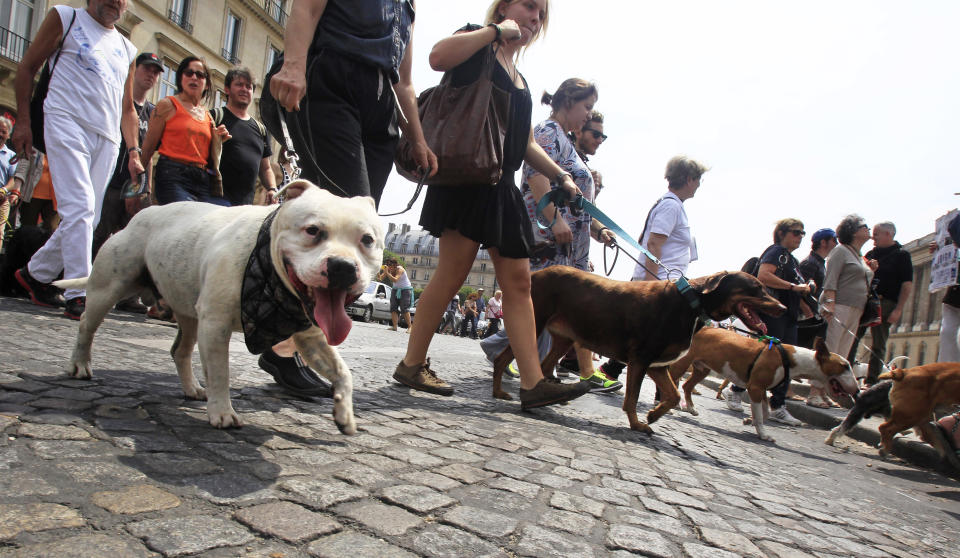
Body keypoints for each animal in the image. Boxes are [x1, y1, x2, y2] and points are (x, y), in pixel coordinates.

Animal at [56, 182, 382, 436]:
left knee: (180, 350)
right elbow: (221, 372)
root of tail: (144, 212)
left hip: (188, 313)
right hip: (109, 286)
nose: (342, 267)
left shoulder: (311, 337)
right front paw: (222, 413)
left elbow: (343, 372)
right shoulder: (215, 326)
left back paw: (192, 389)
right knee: (86, 325)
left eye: (367, 240)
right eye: (312, 230)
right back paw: (80, 365)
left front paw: (344, 415)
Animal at [492, 270, 784, 436]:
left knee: (543, 364)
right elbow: (632, 398)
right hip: (534, 321)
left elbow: (673, 395)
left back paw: (550, 396)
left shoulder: (657, 365)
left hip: (564, 337)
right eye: (757, 288)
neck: (690, 303)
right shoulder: (641, 360)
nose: (783, 307)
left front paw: (653, 414)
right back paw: (500, 393)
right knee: (503, 357)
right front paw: (637, 424)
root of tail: (535, 272)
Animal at [668, 328, 864, 442]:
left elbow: (766, 413)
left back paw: (690, 408)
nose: (858, 389)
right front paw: (763, 434)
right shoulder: (755, 388)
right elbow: (762, 416)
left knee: (687, 386)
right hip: (682, 364)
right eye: (844, 366)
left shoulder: (761, 389)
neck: (792, 359)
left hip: (702, 368)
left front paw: (750, 420)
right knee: (675, 381)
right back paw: (671, 407)